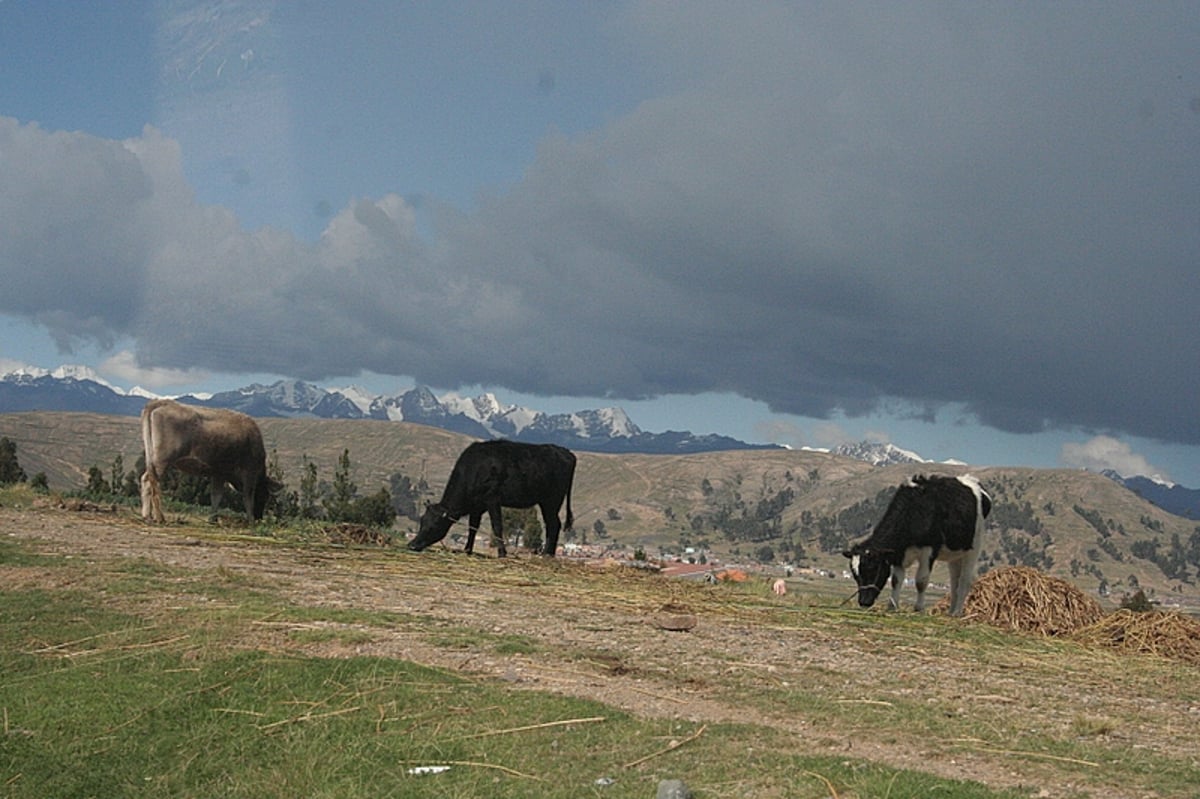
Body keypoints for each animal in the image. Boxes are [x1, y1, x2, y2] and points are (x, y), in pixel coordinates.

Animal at [140, 398, 278, 523]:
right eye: (264, 496)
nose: (259, 518)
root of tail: (162, 402)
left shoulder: (219, 473)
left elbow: (216, 496)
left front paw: (213, 518)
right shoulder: (249, 472)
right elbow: (248, 497)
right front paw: (250, 520)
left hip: (153, 459)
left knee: (146, 480)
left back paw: (147, 516)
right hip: (162, 460)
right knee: (154, 482)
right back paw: (159, 517)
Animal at [408, 439, 576, 556]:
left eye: (434, 525)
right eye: (422, 521)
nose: (412, 545)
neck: (475, 468)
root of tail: (566, 452)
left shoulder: (492, 499)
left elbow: (497, 526)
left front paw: (502, 553)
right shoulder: (477, 506)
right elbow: (473, 527)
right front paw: (467, 550)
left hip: (551, 501)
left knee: (553, 524)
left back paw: (547, 554)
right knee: (554, 525)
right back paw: (550, 554)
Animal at [840, 472, 988, 614]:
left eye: (872, 569)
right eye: (855, 574)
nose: (863, 602)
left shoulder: (929, 550)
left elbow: (921, 581)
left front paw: (919, 608)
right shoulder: (899, 554)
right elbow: (896, 580)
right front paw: (892, 606)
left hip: (974, 547)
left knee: (964, 580)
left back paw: (957, 612)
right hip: (955, 554)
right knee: (954, 582)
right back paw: (950, 612)